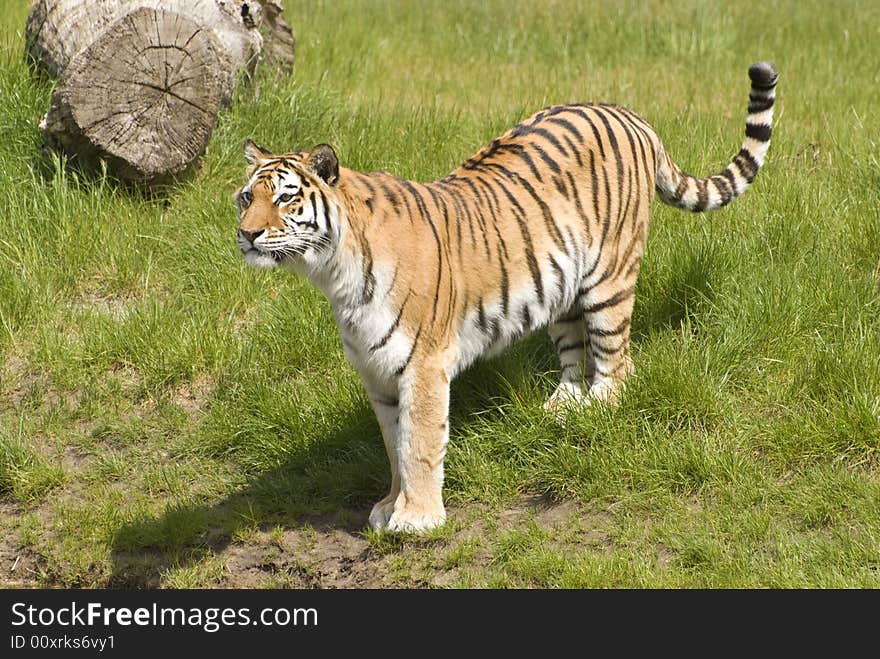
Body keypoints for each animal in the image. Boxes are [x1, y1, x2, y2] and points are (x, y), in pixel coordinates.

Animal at [234, 62, 776, 532]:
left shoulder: (424, 364)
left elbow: (419, 444)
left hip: (609, 276)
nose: (246, 234)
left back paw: (596, 409)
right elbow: (393, 445)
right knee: (576, 351)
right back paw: (563, 406)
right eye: (246, 197)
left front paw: (417, 519)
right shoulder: (377, 370)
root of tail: (627, 112)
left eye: (285, 197)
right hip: (560, 283)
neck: (332, 274)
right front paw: (390, 505)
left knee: (618, 362)